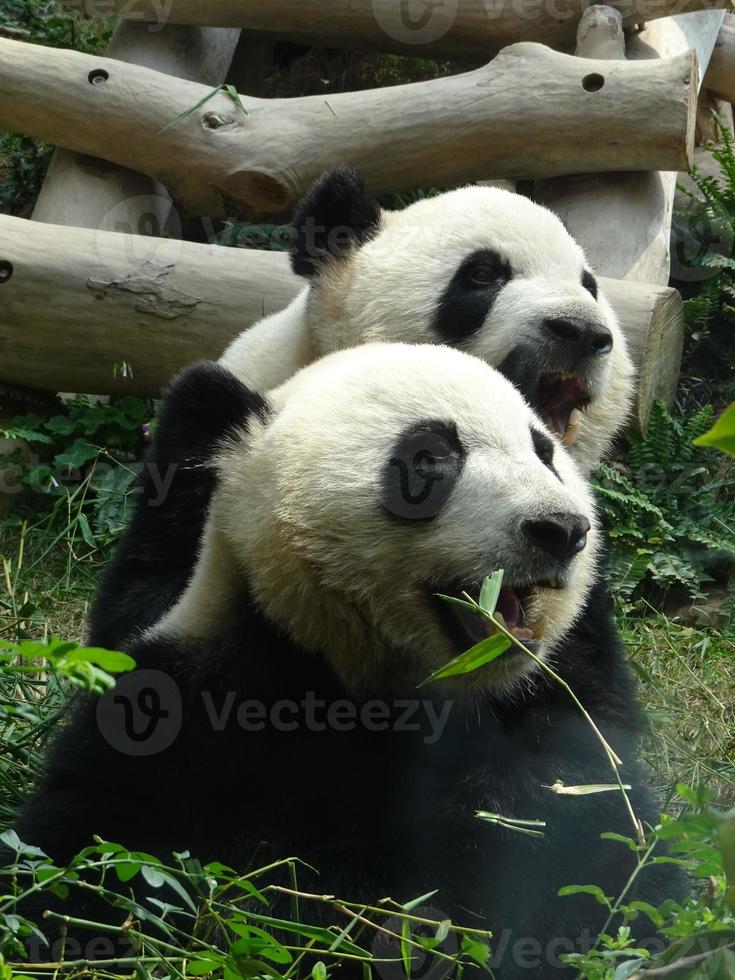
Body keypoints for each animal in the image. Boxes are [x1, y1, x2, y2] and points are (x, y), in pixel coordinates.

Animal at [17, 342, 684, 972]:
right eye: (429, 459)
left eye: (544, 453)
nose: (560, 529)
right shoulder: (208, 691)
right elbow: (95, 840)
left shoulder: (558, 697)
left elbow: (585, 834)